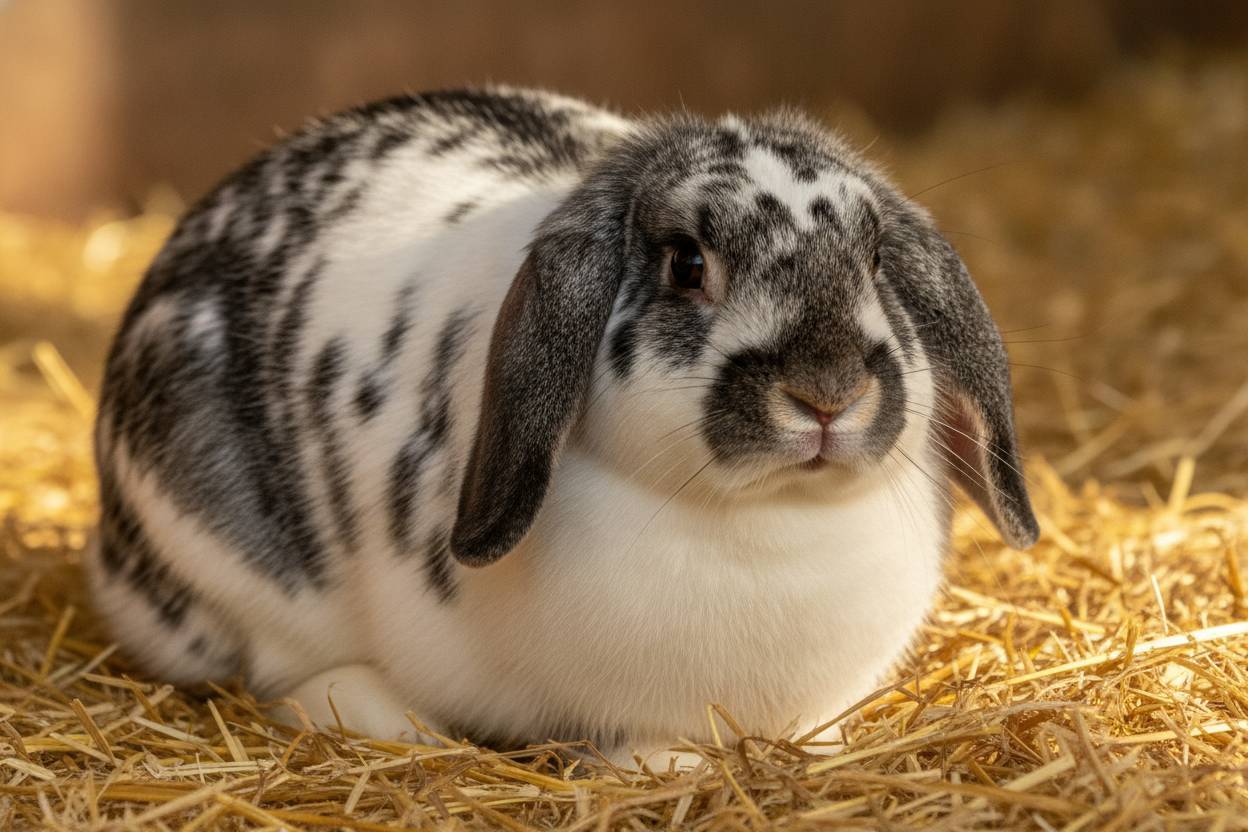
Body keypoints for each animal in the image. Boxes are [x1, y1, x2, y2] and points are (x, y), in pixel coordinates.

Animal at [87, 86, 1039, 767]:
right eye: (685, 262)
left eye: (875, 259)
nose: (828, 391)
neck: (772, 522)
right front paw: (668, 767)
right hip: (220, 549)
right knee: (281, 671)